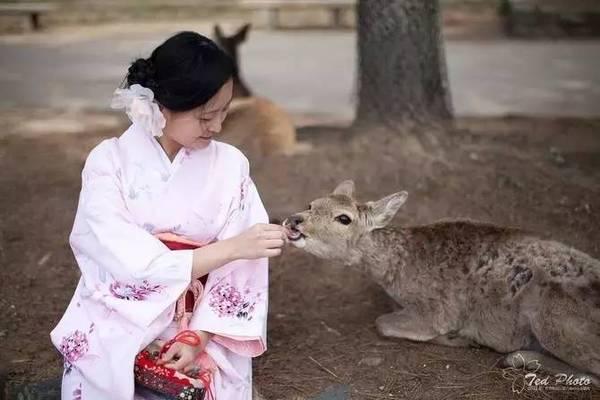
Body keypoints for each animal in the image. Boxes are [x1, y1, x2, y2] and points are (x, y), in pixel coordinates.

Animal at [282, 180, 600, 384]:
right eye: (311, 203)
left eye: (344, 218)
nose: (294, 219)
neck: (397, 272)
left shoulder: (436, 310)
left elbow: (382, 323)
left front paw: (457, 337)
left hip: (552, 318)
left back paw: (514, 356)